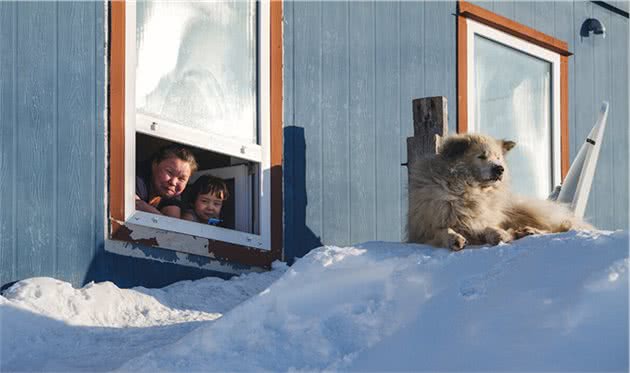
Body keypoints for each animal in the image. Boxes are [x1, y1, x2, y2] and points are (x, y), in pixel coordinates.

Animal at [408, 133, 596, 250]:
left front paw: (501, 234)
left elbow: (490, 227)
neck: (470, 191)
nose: (499, 169)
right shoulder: (425, 230)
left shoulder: (482, 220)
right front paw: (454, 238)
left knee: (556, 227)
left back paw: (528, 231)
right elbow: (443, 230)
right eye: (481, 156)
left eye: (497, 157)